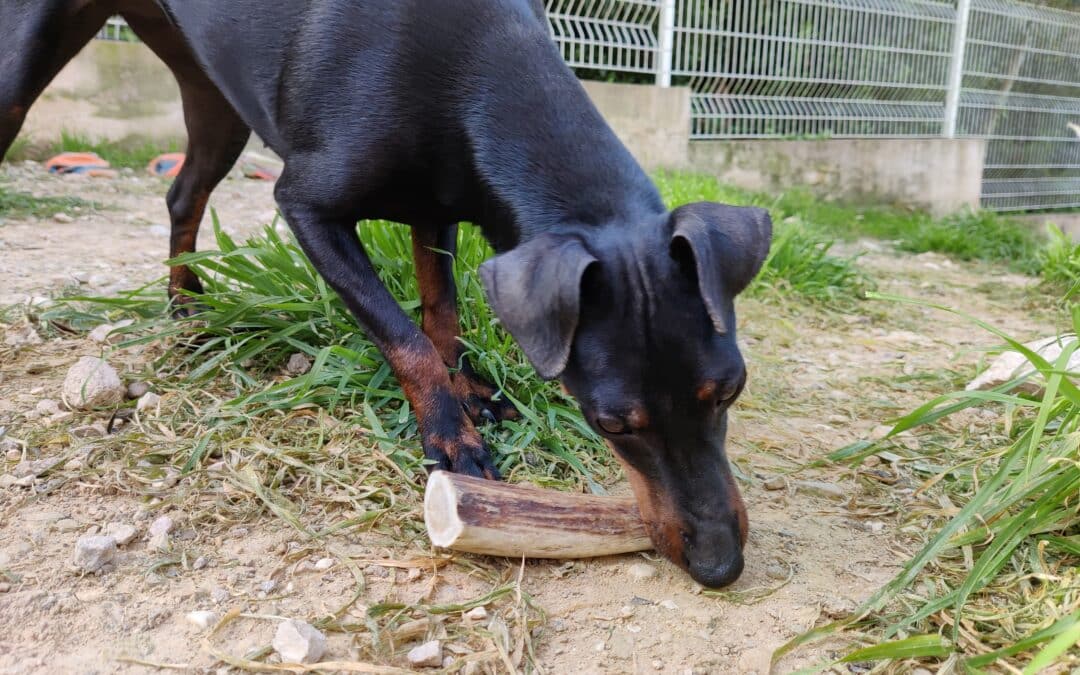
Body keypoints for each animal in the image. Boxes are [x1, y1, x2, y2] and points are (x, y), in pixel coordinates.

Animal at [4, 0, 773, 583]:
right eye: (612, 425)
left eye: (729, 391)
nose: (720, 566)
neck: (480, 66)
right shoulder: (305, 206)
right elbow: (403, 337)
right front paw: (451, 437)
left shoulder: (438, 204)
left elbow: (442, 309)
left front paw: (469, 391)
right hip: (23, 67)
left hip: (213, 94)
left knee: (183, 193)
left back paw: (187, 310)